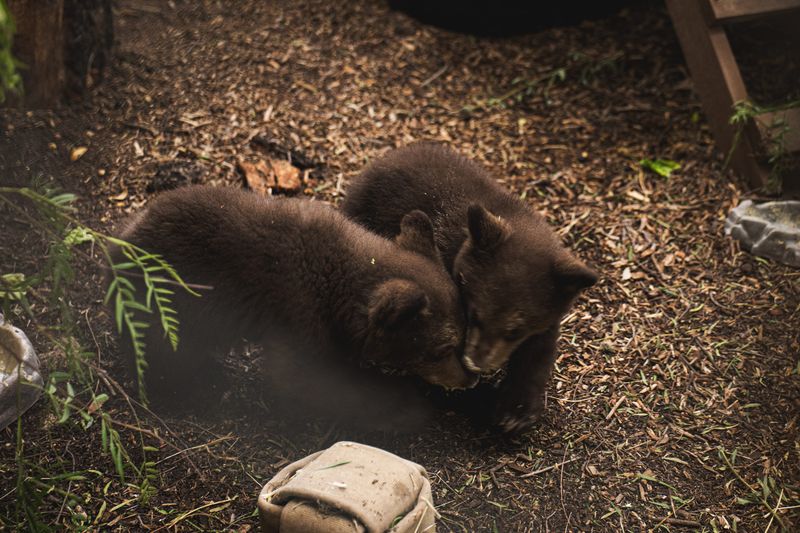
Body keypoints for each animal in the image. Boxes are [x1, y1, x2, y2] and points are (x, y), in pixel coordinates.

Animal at [109, 185, 477, 423]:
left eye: (464, 330)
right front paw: (403, 403)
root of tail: (120, 238)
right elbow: (304, 377)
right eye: (442, 349)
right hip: (168, 305)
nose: (469, 378)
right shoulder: (297, 313)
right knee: (166, 355)